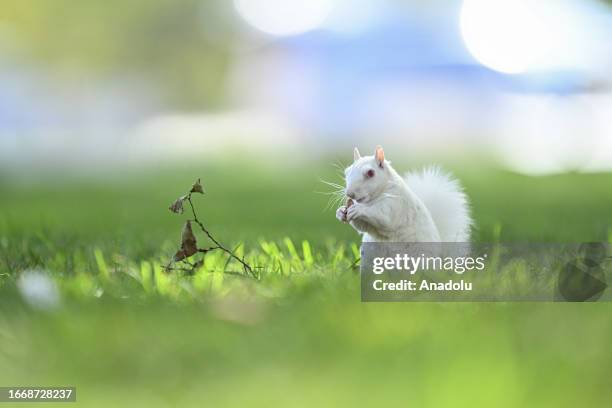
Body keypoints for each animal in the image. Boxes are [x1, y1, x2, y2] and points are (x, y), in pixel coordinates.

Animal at [334, 147, 474, 242]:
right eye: (347, 171)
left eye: (370, 173)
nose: (349, 193)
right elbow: (363, 226)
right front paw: (340, 212)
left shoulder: (396, 204)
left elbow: (383, 216)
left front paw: (358, 209)